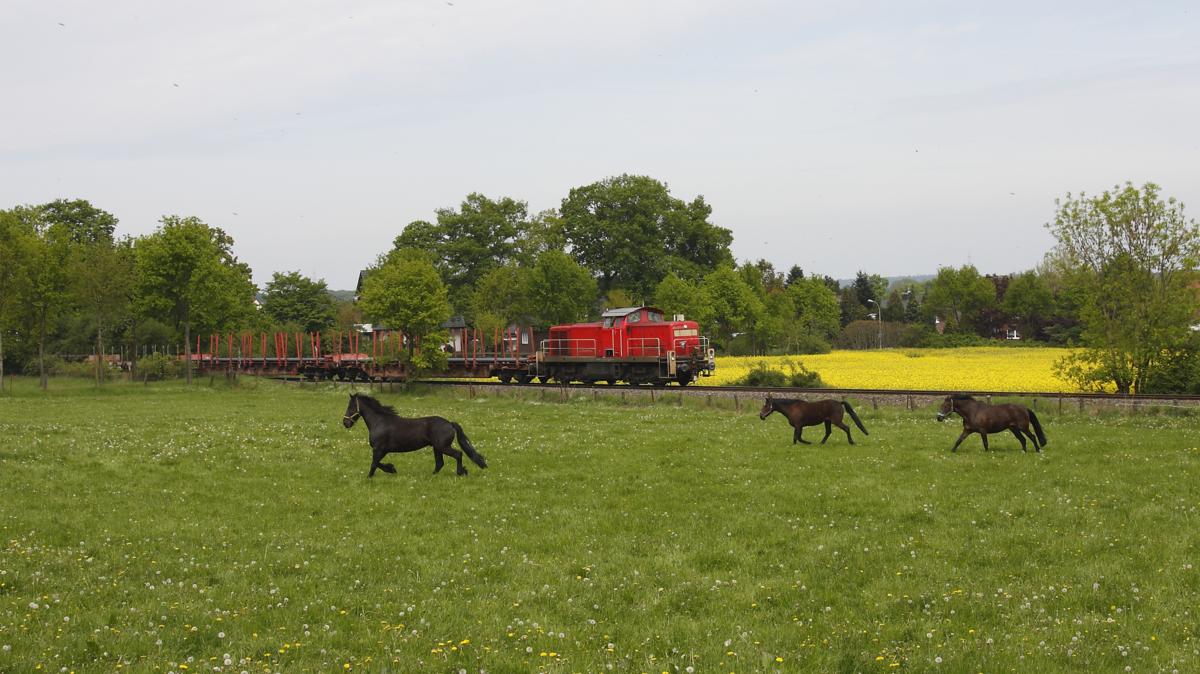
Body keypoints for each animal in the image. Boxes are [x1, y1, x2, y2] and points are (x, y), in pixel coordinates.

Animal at [342, 393, 488, 476]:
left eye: (350, 407)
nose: (345, 423)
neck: (379, 422)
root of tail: (450, 423)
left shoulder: (379, 449)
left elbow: (374, 464)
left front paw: (371, 476)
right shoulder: (382, 450)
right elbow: (377, 463)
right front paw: (391, 469)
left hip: (443, 447)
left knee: (458, 454)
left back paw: (461, 472)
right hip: (437, 448)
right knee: (439, 463)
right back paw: (432, 476)